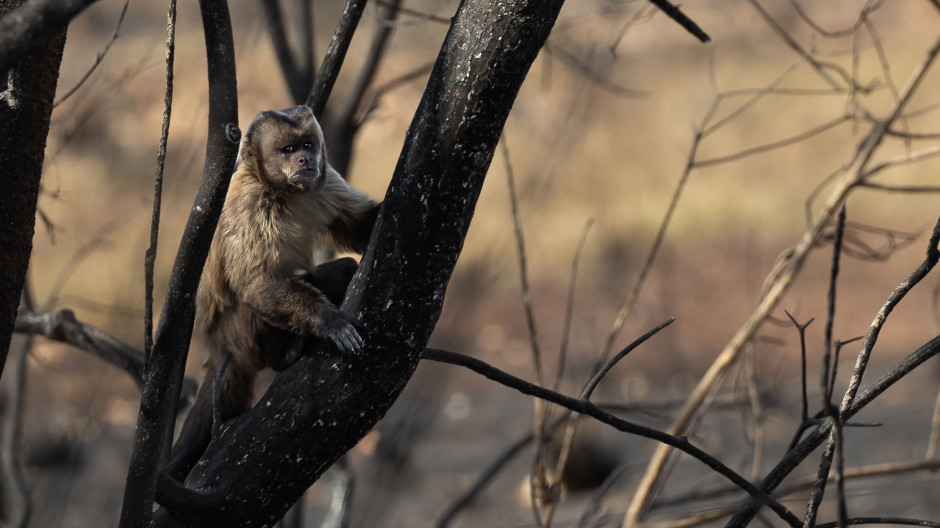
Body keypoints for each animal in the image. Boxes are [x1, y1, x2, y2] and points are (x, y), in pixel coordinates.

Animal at [160, 104, 380, 490]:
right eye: (287, 150)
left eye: (307, 145)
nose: (305, 159)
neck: (283, 192)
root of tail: (217, 347)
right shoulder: (249, 205)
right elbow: (255, 283)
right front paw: (330, 322)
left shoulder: (325, 180)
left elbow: (360, 226)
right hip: (237, 336)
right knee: (252, 302)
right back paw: (284, 355)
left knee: (344, 270)